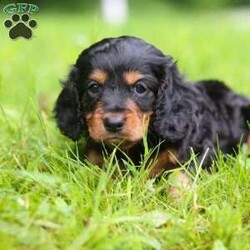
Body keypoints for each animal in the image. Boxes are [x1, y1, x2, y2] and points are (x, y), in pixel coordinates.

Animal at [54, 36, 250, 179]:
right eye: (93, 87)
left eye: (140, 88)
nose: (113, 123)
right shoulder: (94, 160)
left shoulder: (202, 152)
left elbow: (179, 176)